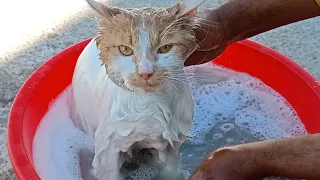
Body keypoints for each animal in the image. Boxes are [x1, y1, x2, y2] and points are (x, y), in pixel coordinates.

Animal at [69, 0, 205, 179]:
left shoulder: (172, 144)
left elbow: (170, 169)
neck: (150, 107)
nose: (145, 72)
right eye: (125, 50)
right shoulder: (107, 153)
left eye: (165, 48)